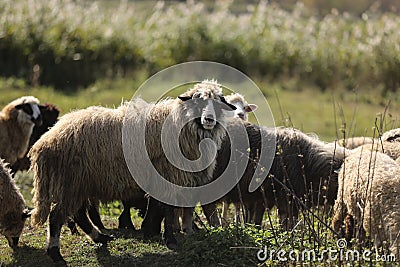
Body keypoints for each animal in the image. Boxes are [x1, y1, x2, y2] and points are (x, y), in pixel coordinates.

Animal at [29, 79, 236, 264]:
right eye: (197, 101)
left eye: (218, 103)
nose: (209, 119)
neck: (182, 124)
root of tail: (45, 141)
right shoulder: (169, 177)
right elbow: (169, 211)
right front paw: (170, 240)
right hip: (70, 181)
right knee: (56, 216)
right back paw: (56, 254)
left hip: (80, 182)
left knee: (79, 214)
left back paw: (100, 238)